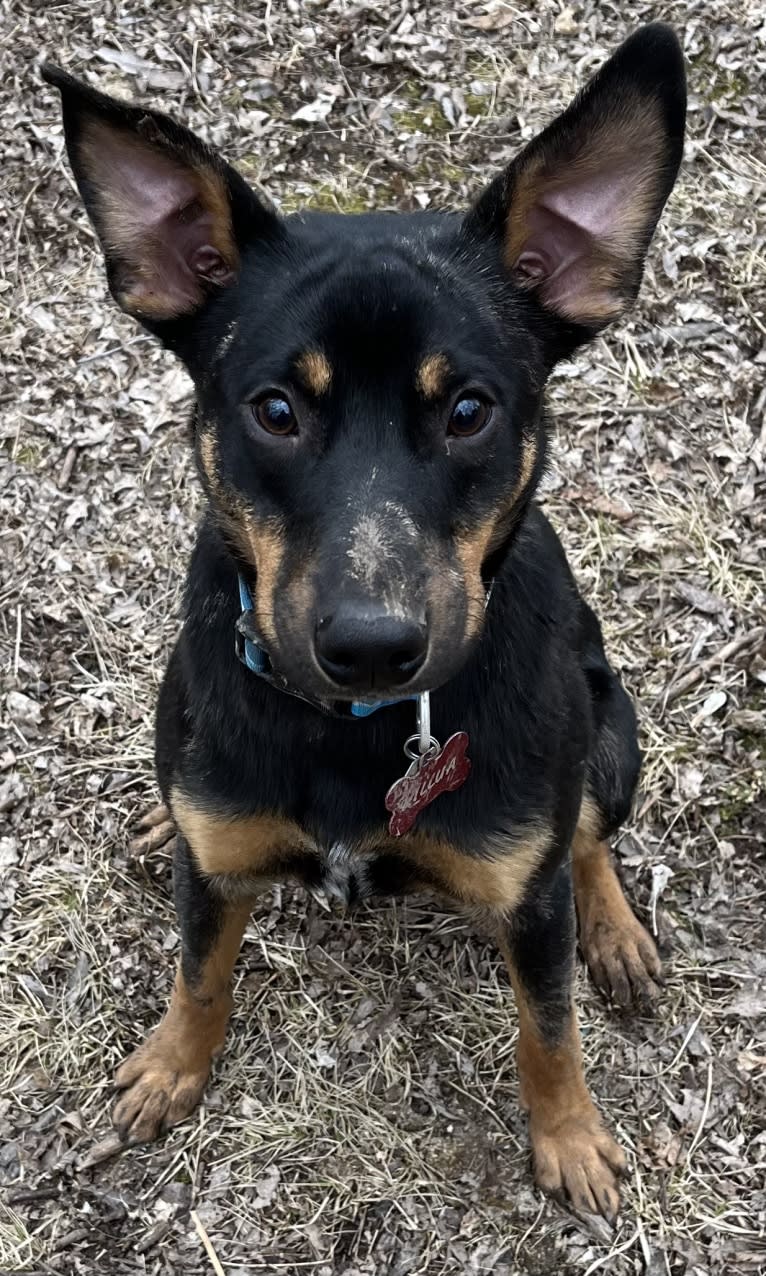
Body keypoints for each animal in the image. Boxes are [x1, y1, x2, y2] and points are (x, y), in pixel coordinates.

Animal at [43, 19, 689, 1214]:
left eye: (470, 409)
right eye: (275, 409)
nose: (373, 647)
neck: (350, 732)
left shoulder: (525, 900)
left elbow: (548, 1024)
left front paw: (570, 1135)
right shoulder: (216, 866)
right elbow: (198, 970)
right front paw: (170, 1065)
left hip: (612, 728)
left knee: (585, 838)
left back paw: (616, 929)